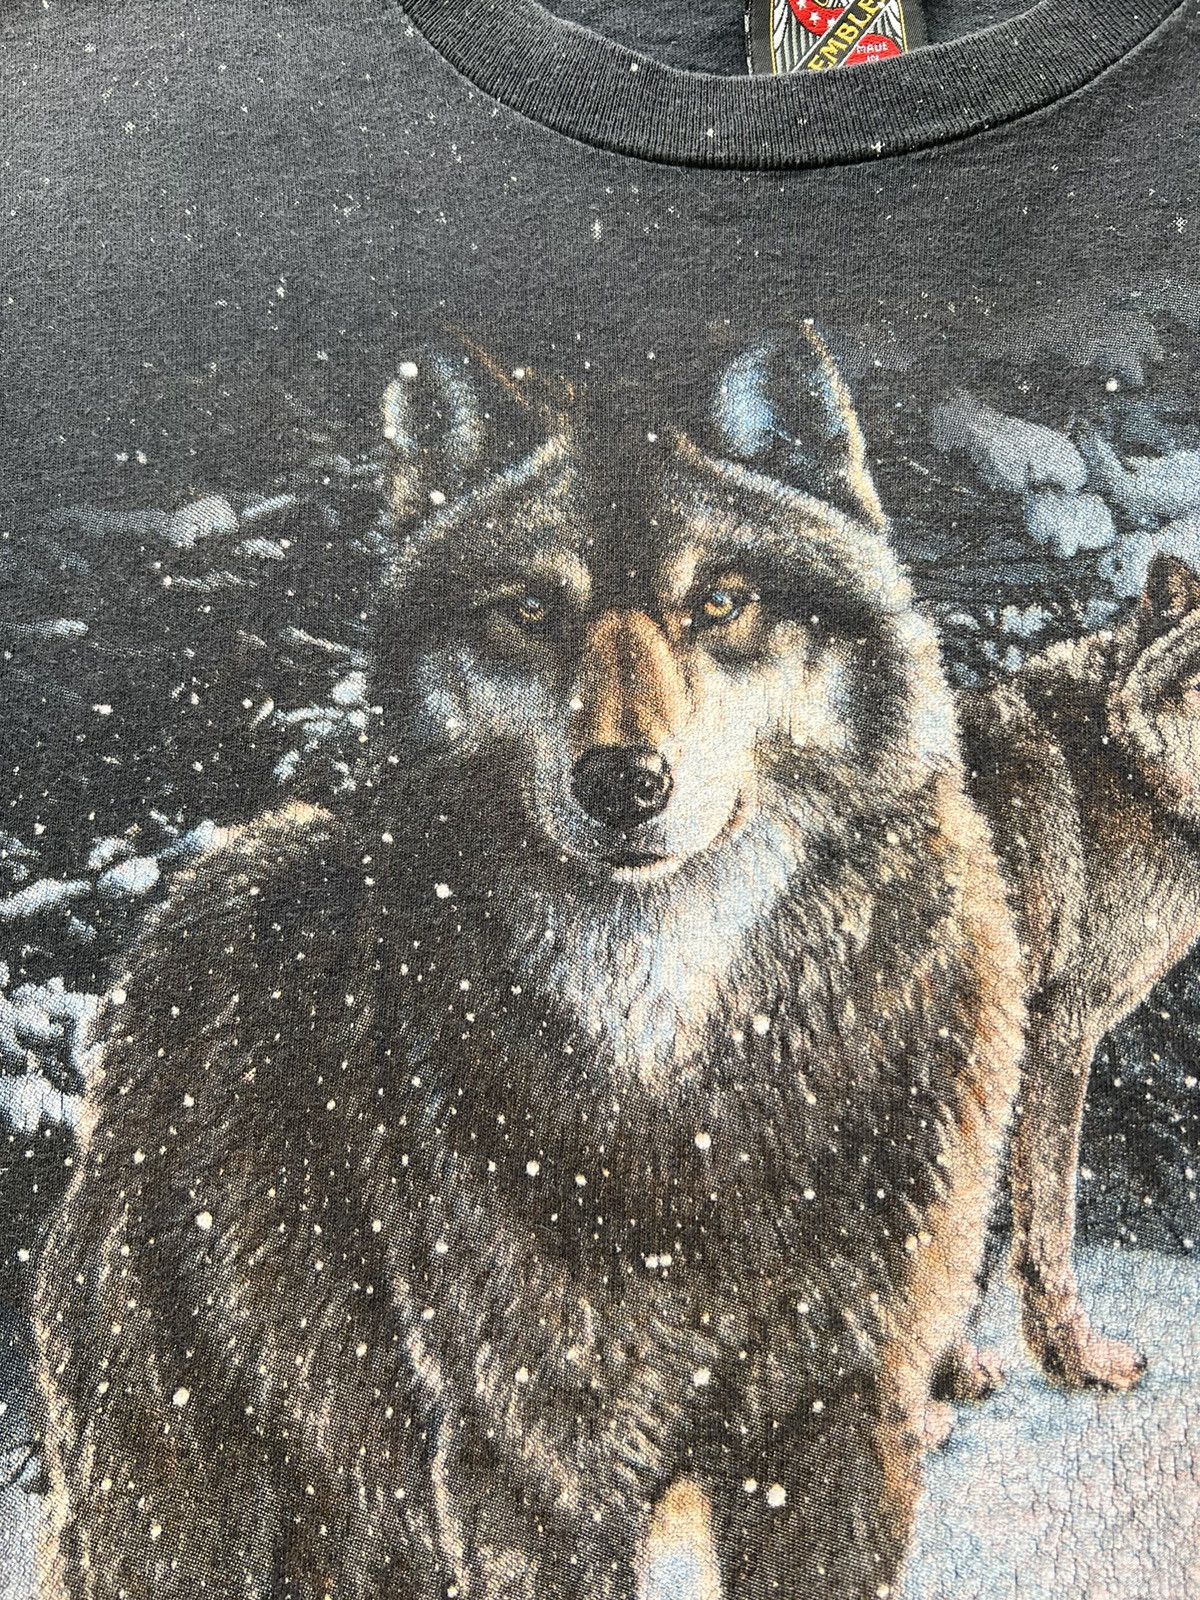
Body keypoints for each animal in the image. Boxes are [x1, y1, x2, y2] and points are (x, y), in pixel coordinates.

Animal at [35, 329, 1024, 1600]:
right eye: (529, 608)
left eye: (719, 601)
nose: (623, 782)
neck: (676, 1071)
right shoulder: (532, 1459)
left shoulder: (843, 1423)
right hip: (188, 1513)